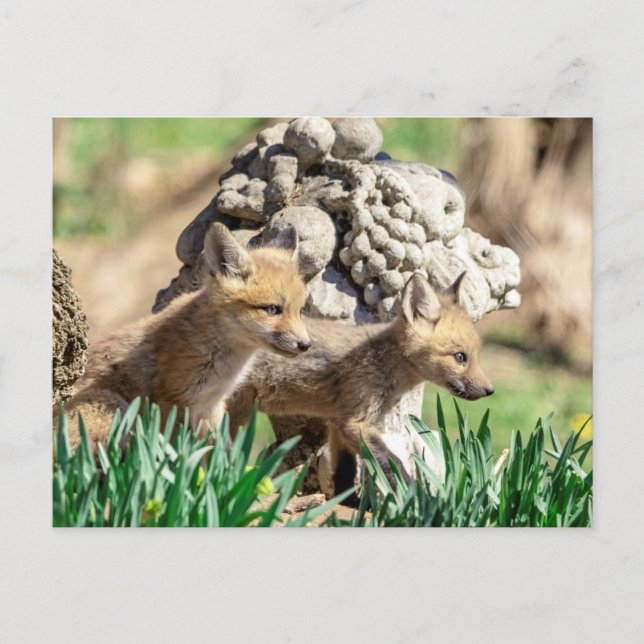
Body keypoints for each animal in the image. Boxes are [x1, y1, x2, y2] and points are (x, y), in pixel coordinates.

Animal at [58, 222, 311, 452]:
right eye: (272, 309)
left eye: (300, 311)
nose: (306, 345)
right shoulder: (170, 401)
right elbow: (171, 449)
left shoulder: (212, 404)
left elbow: (220, 454)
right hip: (113, 405)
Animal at [227, 271, 494, 497]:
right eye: (460, 357)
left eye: (476, 356)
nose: (490, 390)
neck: (384, 362)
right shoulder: (355, 423)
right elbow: (392, 462)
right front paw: (416, 498)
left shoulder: (338, 421)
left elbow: (344, 471)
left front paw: (346, 503)